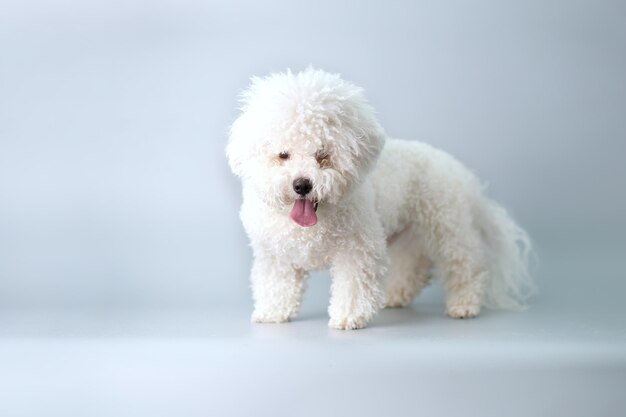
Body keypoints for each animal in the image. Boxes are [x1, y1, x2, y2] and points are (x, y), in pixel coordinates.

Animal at [225, 68, 532, 328]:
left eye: (323, 155)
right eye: (283, 155)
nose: (302, 185)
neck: (313, 222)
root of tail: (463, 175)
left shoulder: (358, 249)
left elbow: (352, 285)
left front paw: (347, 317)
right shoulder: (275, 254)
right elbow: (277, 284)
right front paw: (272, 312)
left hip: (447, 226)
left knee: (466, 265)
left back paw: (465, 304)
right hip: (409, 234)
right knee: (413, 265)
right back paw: (396, 295)